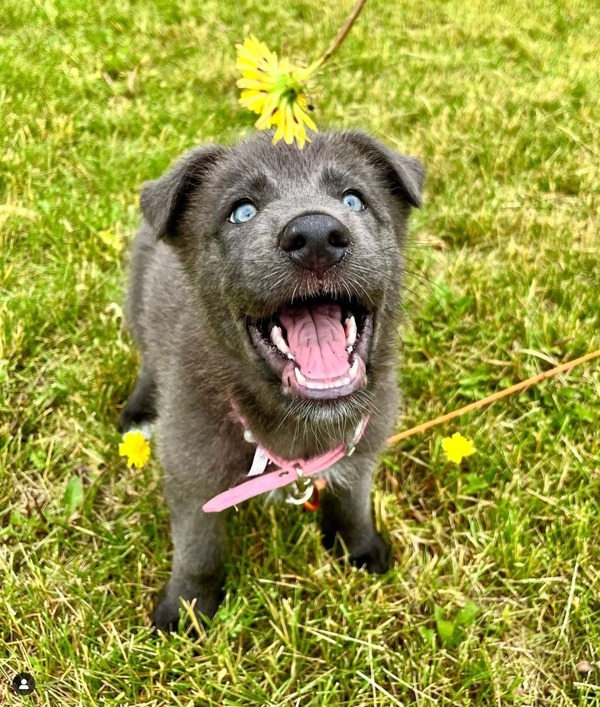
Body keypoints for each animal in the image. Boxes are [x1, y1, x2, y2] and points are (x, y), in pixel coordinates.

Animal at [120, 129, 422, 632]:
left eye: (354, 199)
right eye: (242, 211)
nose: (316, 236)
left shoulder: (361, 446)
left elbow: (352, 501)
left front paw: (361, 549)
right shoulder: (190, 469)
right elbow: (198, 549)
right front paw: (187, 609)